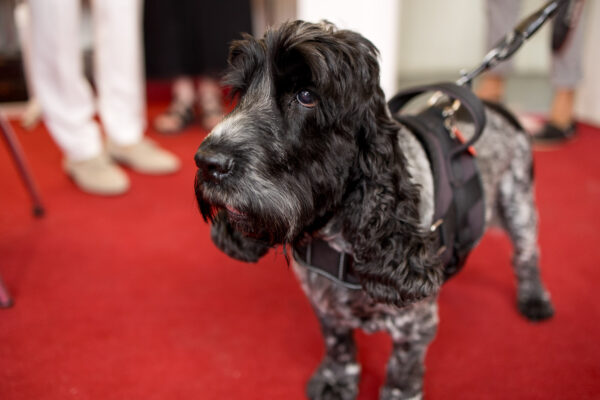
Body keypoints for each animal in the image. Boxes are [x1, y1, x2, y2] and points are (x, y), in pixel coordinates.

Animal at [195, 21, 556, 400]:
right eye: (239, 93)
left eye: (306, 96)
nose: (206, 162)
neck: (337, 235)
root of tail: (498, 107)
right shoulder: (325, 306)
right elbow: (338, 343)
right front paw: (336, 380)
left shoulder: (415, 327)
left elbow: (401, 374)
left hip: (519, 202)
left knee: (527, 254)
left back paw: (534, 299)